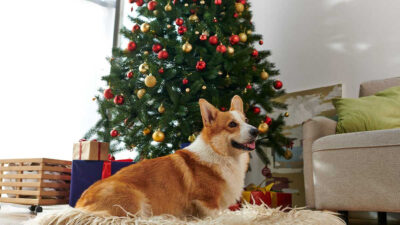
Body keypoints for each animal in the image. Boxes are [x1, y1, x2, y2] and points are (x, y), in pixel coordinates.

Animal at [75, 95, 260, 218]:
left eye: (246, 120)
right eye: (232, 124)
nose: (256, 131)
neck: (219, 153)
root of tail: (79, 204)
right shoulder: (207, 202)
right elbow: (223, 217)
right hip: (133, 200)